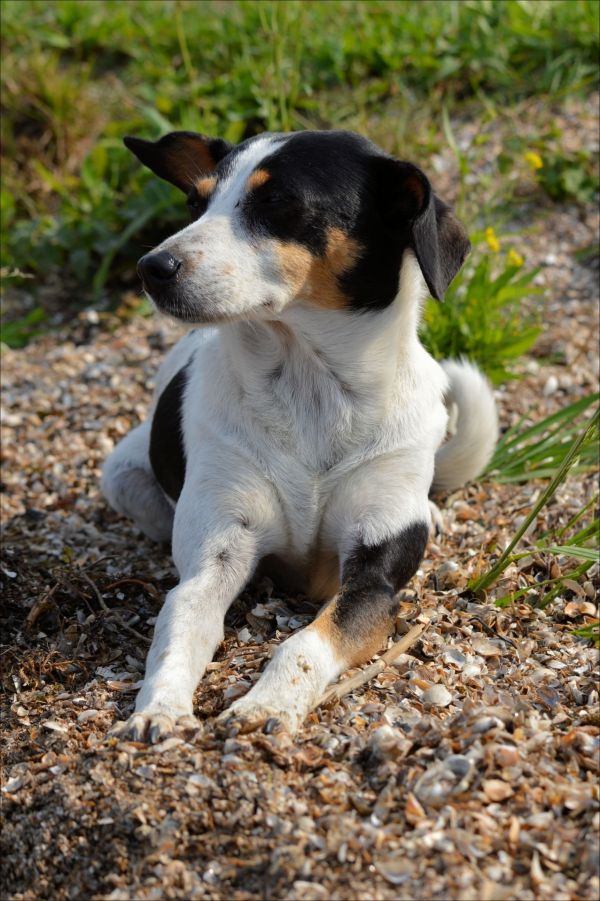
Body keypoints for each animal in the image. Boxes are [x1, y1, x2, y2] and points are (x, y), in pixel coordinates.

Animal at [103, 128, 496, 744]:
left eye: (277, 202)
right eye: (196, 203)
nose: (152, 267)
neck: (310, 389)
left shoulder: (373, 579)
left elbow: (305, 644)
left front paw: (266, 704)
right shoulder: (214, 556)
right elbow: (180, 629)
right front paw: (160, 707)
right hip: (120, 474)